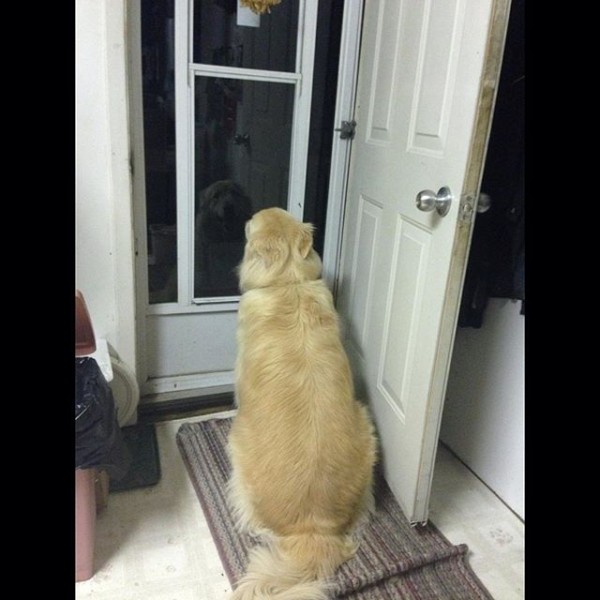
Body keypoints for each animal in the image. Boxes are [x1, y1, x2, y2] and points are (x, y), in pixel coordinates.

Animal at [227, 207, 378, 600]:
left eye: (250, 223)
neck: (288, 283)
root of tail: (313, 531)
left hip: (237, 442)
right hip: (365, 425)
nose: (244, 218)